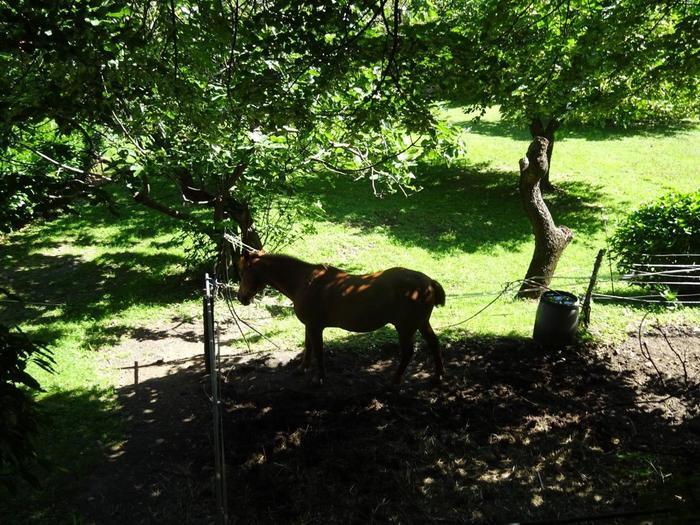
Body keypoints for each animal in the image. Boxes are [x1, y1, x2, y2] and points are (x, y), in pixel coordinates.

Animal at [235, 252, 442, 382]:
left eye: (243, 272)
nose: (240, 297)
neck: (305, 282)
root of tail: (428, 282)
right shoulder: (309, 326)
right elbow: (308, 347)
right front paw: (302, 369)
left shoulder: (315, 326)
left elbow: (318, 350)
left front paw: (319, 377)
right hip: (422, 323)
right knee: (434, 343)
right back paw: (438, 376)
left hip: (405, 328)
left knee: (408, 352)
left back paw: (396, 379)